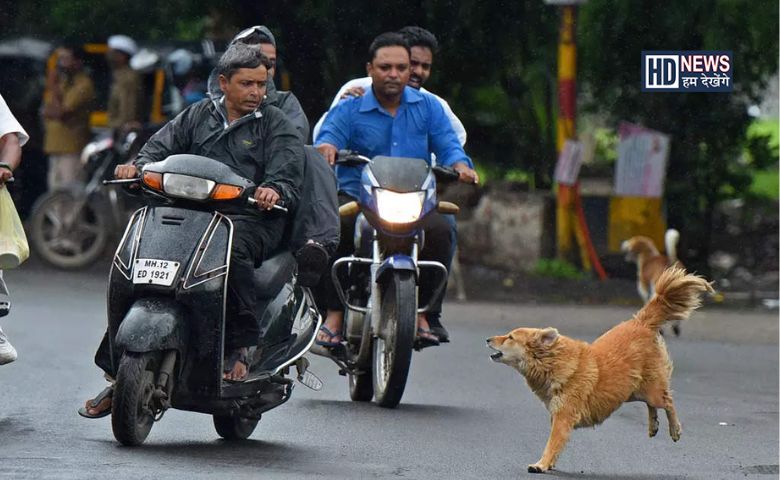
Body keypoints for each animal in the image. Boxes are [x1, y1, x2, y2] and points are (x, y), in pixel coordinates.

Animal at [488, 268, 712, 474]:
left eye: (510, 337)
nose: (488, 339)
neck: (553, 362)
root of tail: (640, 322)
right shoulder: (557, 414)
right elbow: (555, 445)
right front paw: (548, 464)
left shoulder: (563, 416)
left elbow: (552, 443)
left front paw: (541, 465)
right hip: (632, 391)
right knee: (653, 405)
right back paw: (653, 425)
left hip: (651, 390)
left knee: (667, 401)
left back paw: (674, 429)